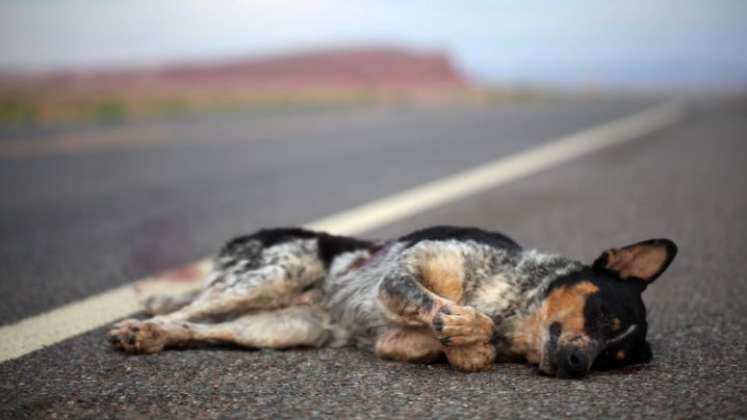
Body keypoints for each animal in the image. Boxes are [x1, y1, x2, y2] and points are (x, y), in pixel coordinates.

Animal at [109, 226, 676, 378]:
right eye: (604, 314)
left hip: (281, 328)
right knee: (189, 308)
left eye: (613, 358)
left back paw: (150, 335)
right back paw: (142, 322)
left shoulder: (389, 340)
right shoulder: (402, 272)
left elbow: (445, 340)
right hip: (272, 274)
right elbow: (442, 304)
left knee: (199, 328)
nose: (580, 363)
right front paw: (470, 332)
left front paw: (470, 342)